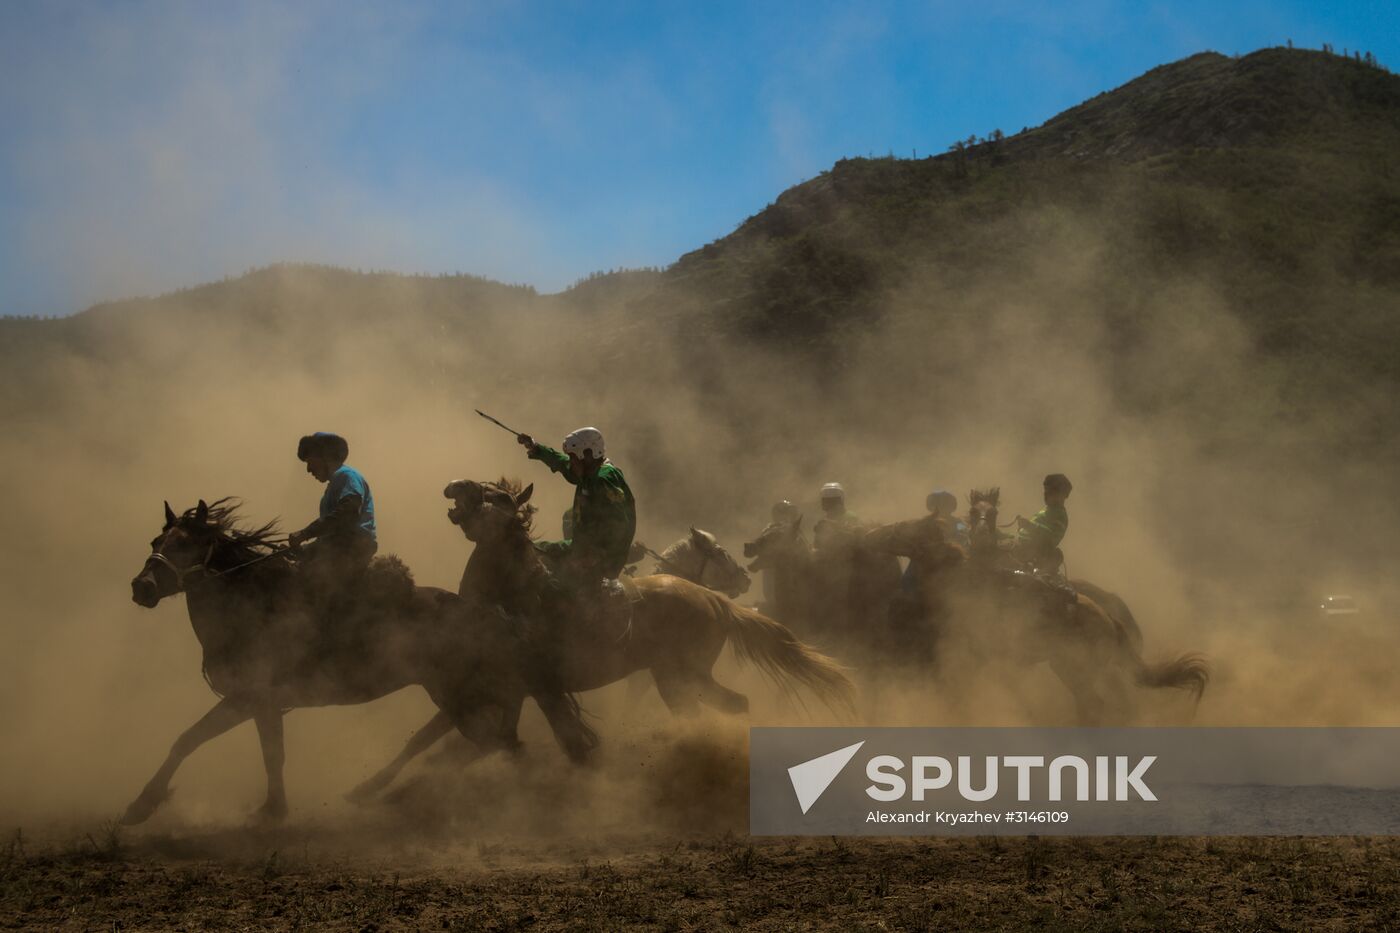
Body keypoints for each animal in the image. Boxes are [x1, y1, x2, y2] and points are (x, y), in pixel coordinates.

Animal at [121, 501, 596, 823]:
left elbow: (195, 741)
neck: (255, 603)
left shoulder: (248, 699)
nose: (142, 587)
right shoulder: (260, 704)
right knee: (480, 742)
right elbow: (256, 751)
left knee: (498, 745)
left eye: (186, 544)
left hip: (459, 695)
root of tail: (492, 614)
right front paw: (273, 809)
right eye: (156, 542)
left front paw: (141, 805)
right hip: (458, 694)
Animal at [347, 479, 851, 801]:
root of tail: (711, 599)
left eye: (497, 495)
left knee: (722, 708)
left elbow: (533, 743)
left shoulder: (519, 691)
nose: (453, 485)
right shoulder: (501, 694)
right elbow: (432, 742)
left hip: (679, 676)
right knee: (726, 706)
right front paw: (367, 789)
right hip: (678, 678)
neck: (502, 604)